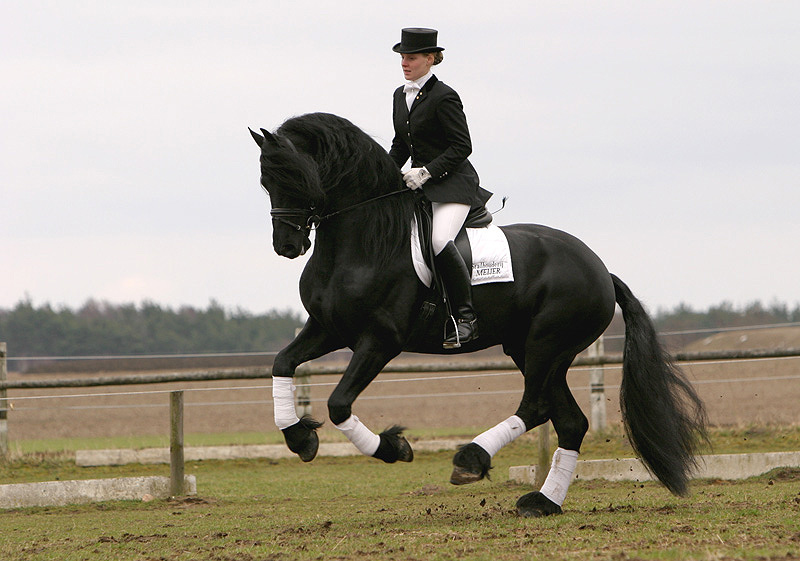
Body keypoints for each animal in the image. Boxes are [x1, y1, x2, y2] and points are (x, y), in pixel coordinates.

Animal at [250, 112, 707, 517]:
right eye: (266, 182)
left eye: (296, 176)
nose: (287, 245)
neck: (362, 242)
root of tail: (601, 271)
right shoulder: (328, 329)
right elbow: (282, 363)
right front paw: (299, 438)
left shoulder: (380, 340)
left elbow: (340, 403)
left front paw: (393, 448)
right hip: (533, 350)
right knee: (570, 422)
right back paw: (543, 503)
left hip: (547, 346)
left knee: (536, 407)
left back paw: (471, 460)